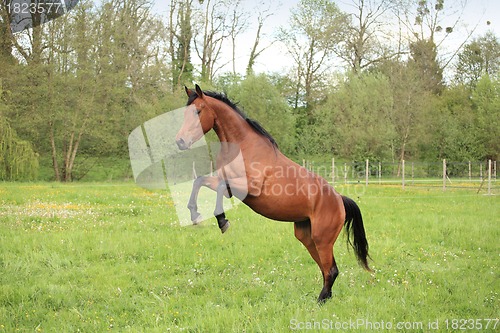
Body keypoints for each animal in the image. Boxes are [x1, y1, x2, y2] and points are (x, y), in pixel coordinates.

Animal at [176, 83, 372, 300]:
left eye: (198, 111)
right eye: (184, 113)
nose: (180, 141)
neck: (242, 148)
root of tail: (339, 200)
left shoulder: (248, 188)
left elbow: (217, 187)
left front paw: (222, 221)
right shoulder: (225, 182)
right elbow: (199, 181)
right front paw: (194, 213)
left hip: (323, 239)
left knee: (331, 270)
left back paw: (321, 301)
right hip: (306, 236)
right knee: (325, 269)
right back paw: (324, 298)